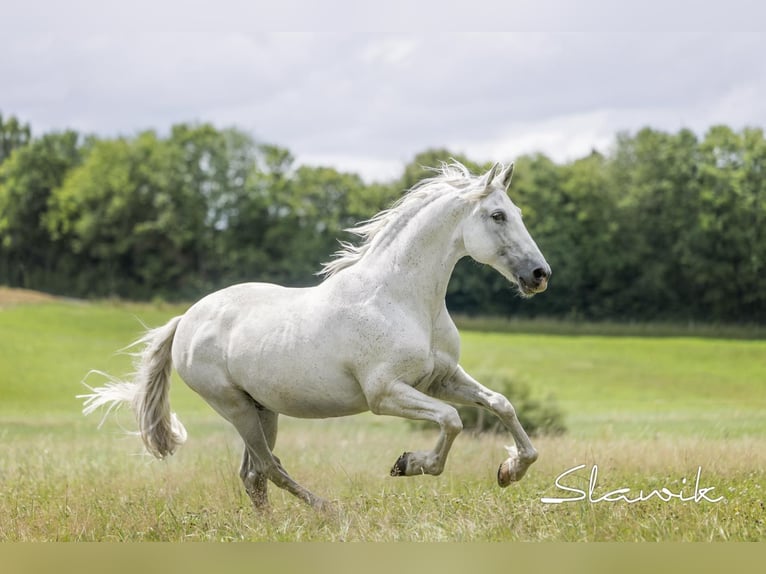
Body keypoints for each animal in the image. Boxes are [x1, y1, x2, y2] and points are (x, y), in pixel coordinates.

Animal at [80, 161, 551, 511]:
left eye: (519, 214)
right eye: (497, 215)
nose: (539, 275)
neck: (401, 298)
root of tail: (186, 320)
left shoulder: (441, 378)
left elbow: (501, 404)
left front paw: (510, 471)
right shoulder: (385, 394)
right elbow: (452, 420)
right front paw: (408, 464)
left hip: (262, 409)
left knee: (254, 473)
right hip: (235, 408)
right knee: (269, 468)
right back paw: (330, 512)